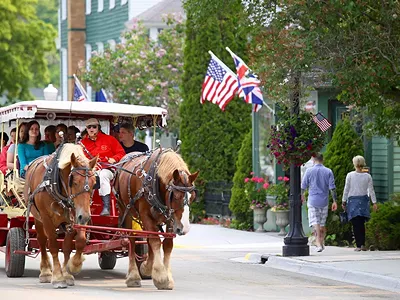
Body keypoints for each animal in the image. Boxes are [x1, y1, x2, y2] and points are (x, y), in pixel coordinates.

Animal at [24, 144, 97, 290]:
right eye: (74, 182)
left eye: (94, 183)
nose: (85, 217)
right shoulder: (46, 217)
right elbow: (52, 245)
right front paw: (58, 277)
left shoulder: (76, 216)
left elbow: (73, 243)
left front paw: (71, 268)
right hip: (38, 218)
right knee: (42, 240)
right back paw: (46, 271)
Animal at [115, 149, 198, 290]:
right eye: (176, 196)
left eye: (192, 196)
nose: (185, 228)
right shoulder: (145, 215)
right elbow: (155, 241)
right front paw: (160, 276)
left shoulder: (171, 219)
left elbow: (167, 244)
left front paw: (163, 274)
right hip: (126, 211)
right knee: (131, 240)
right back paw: (133, 276)